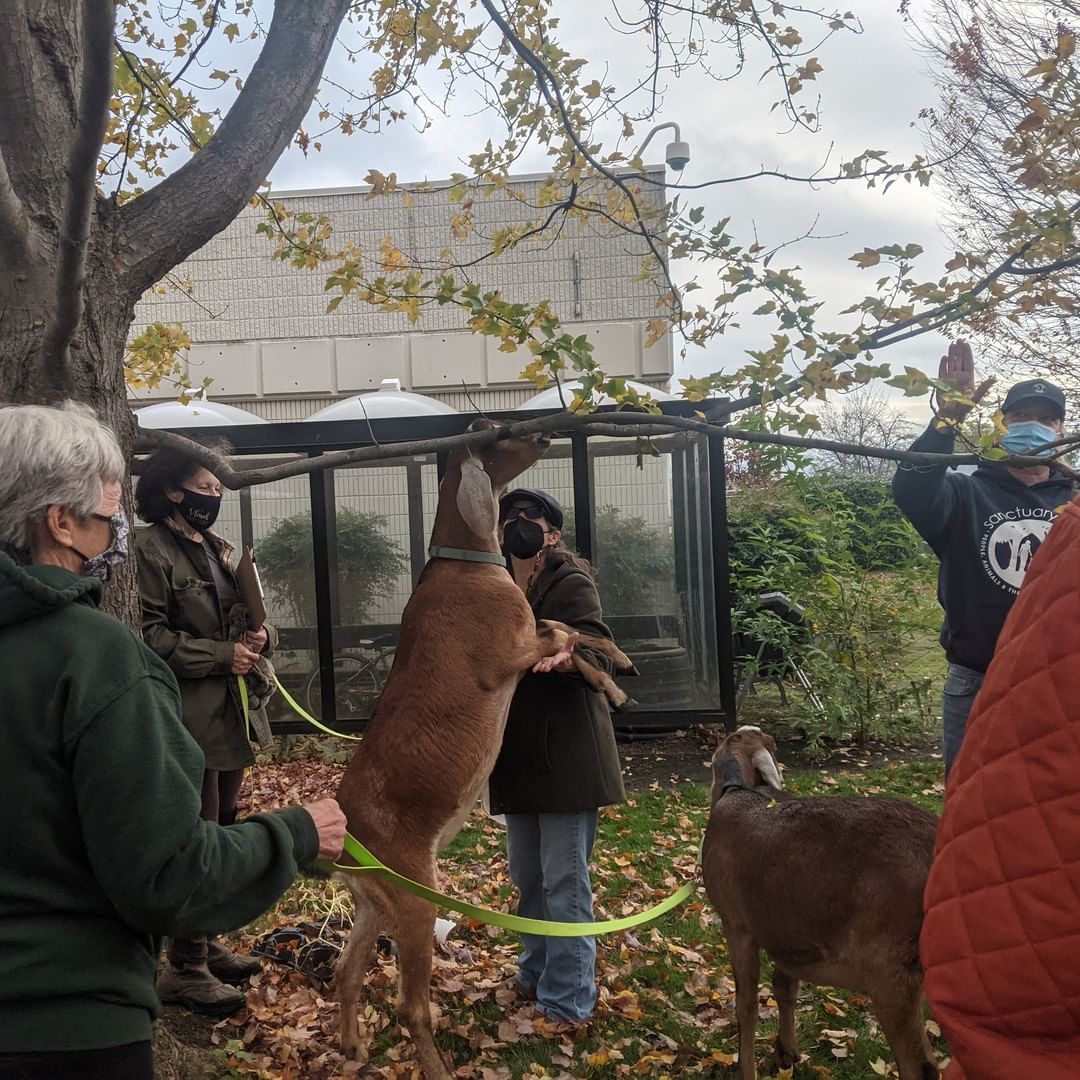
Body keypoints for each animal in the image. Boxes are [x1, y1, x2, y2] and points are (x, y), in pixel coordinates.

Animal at [328, 416, 630, 1075]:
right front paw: (616, 674)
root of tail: (346, 836)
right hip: (417, 895)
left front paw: (617, 673)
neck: (467, 565)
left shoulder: (531, 643)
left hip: (373, 903)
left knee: (345, 971)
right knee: (411, 1005)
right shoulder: (514, 648)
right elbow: (568, 634)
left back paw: (352, 1047)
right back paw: (435, 1067)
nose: (542, 437)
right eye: (497, 434)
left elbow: (575, 637)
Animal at [704, 725, 941, 1080]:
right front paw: (786, 1053)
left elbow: (746, 1006)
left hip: (891, 968)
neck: (740, 792)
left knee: (921, 1066)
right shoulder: (787, 931)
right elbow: (784, 986)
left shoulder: (738, 925)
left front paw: (746, 1069)